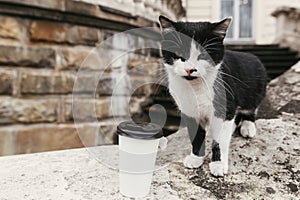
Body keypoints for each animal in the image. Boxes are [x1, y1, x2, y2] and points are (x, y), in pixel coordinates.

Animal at [158, 15, 266, 176]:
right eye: (179, 54)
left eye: (203, 54)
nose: (190, 69)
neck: (196, 88)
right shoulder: (189, 110)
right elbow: (196, 134)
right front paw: (196, 157)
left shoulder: (226, 103)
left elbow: (220, 139)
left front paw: (218, 164)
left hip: (256, 85)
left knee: (249, 108)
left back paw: (247, 126)